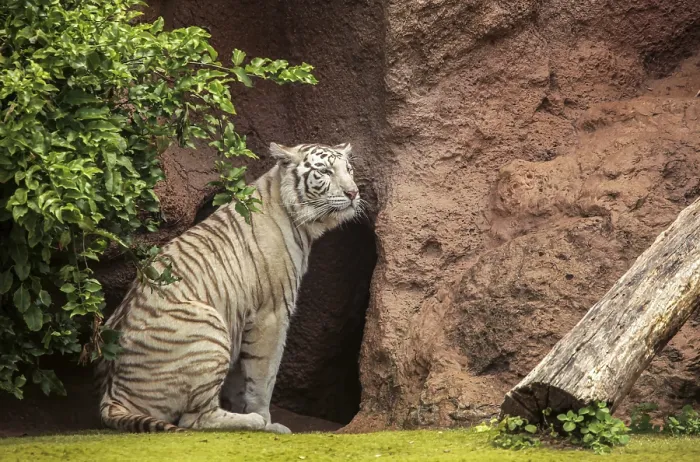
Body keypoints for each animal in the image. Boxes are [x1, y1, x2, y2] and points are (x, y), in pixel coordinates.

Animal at [97, 142, 362, 434]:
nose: (353, 193)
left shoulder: (243, 318)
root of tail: (112, 395)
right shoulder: (272, 315)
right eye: (325, 171)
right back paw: (253, 422)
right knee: (195, 420)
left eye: (348, 170)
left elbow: (241, 380)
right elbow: (263, 377)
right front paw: (267, 421)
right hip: (208, 330)